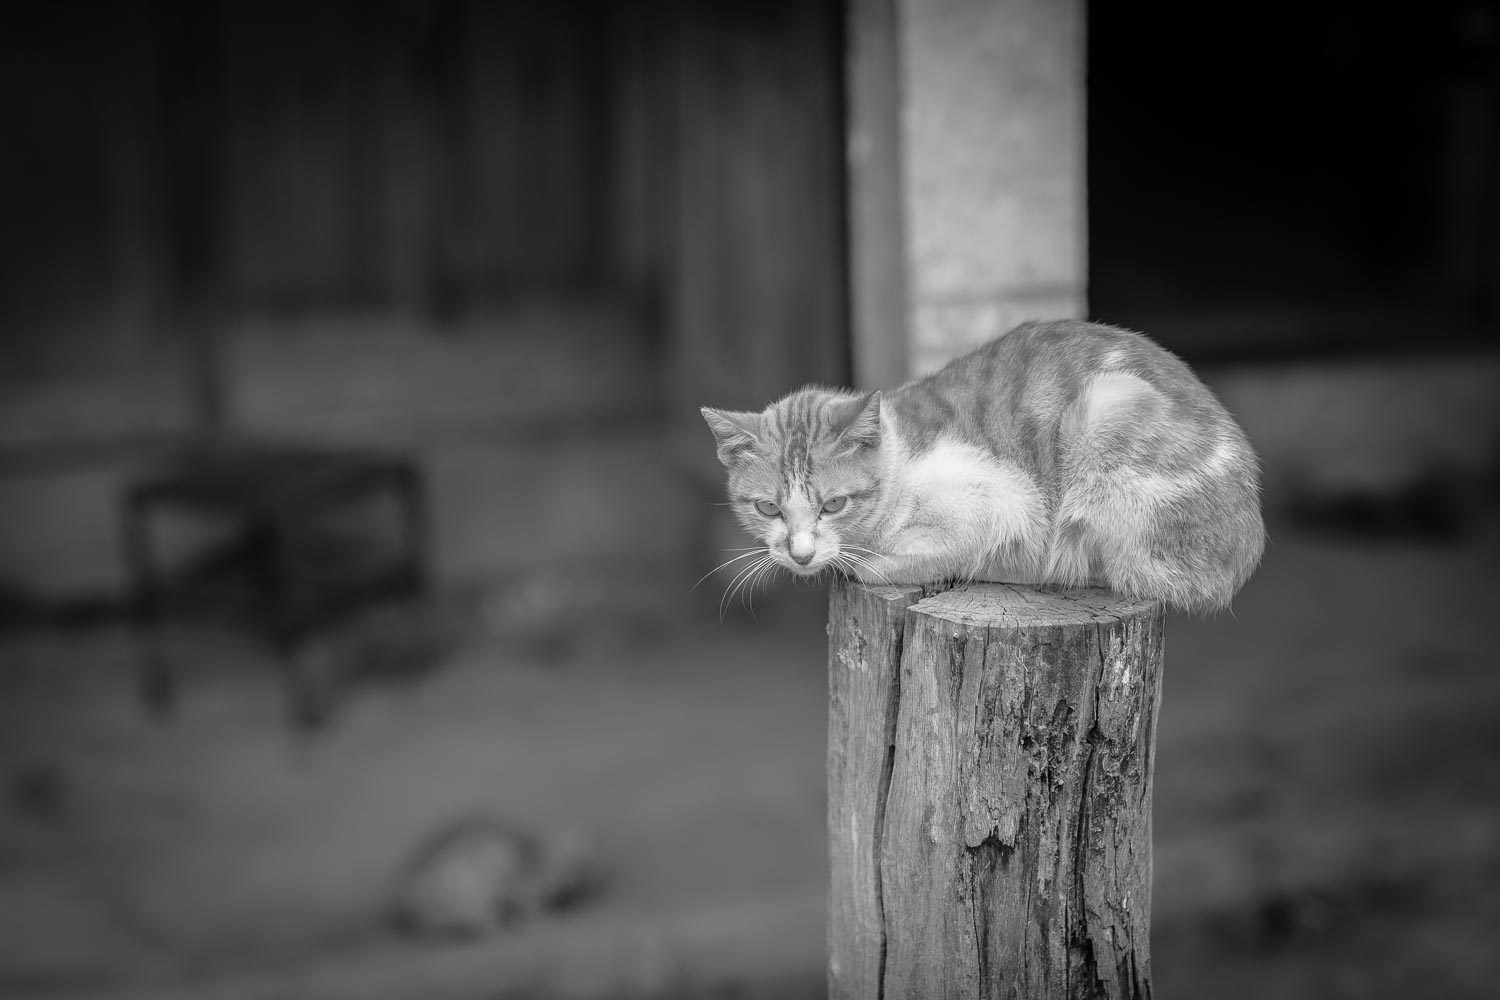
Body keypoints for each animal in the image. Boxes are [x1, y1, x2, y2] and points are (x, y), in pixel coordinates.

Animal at [702, 325, 1266, 614]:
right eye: (768, 508)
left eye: (834, 504)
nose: (799, 554)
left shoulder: (1004, 503)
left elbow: (877, 565)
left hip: (1109, 408)